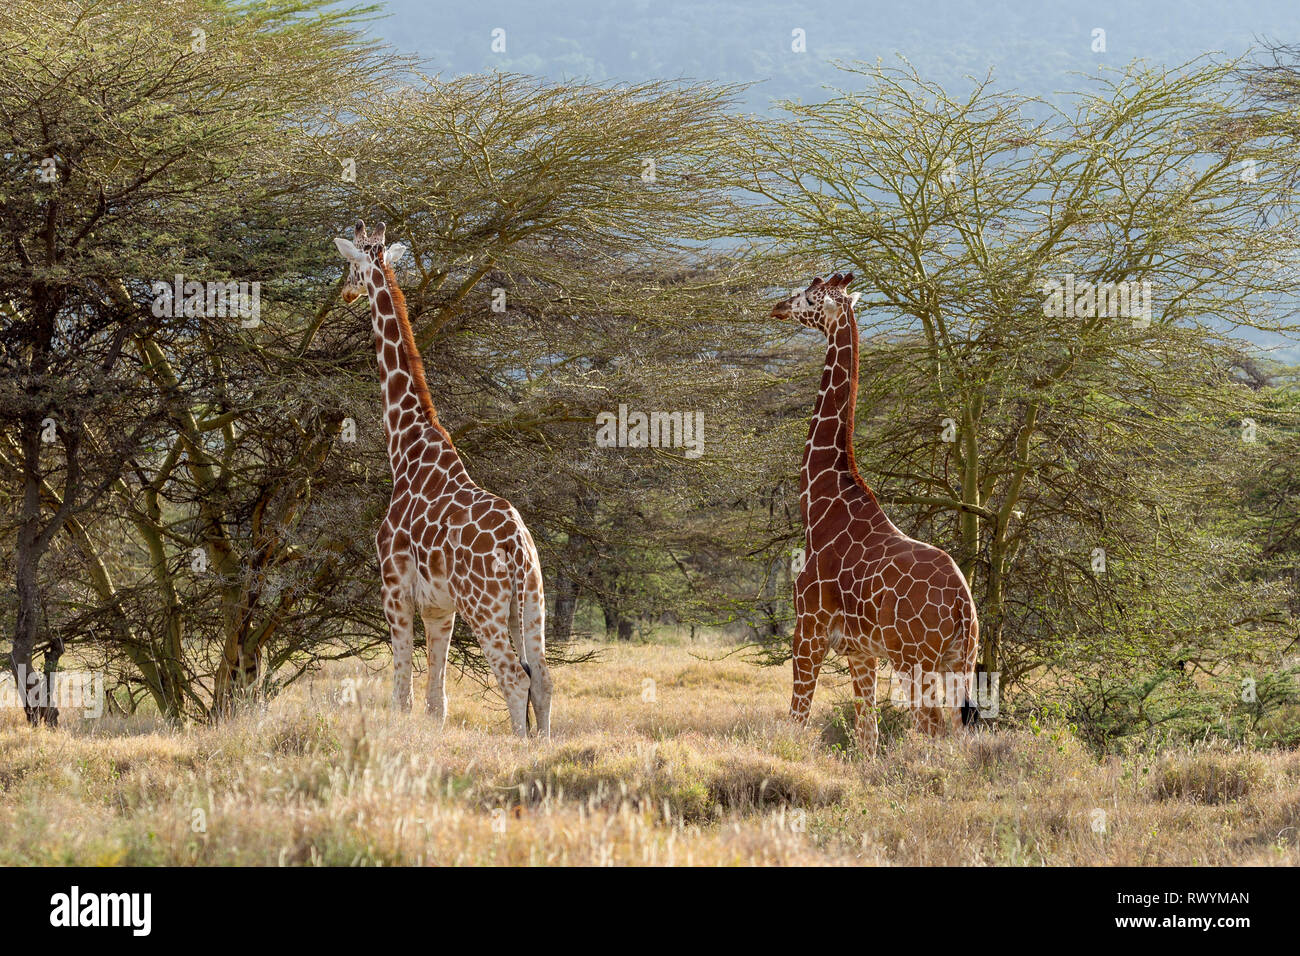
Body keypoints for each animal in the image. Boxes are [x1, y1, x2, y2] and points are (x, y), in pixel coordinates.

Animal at [332, 221, 551, 738]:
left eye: (351, 265)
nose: (345, 292)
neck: (406, 447)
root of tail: (516, 546)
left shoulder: (395, 586)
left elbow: (402, 695)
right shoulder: (440, 607)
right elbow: (437, 700)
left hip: (485, 606)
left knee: (515, 676)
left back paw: (522, 747)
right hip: (532, 600)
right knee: (543, 676)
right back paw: (545, 744)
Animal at [769, 270, 977, 754]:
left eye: (811, 298)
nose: (779, 307)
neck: (820, 505)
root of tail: (963, 602)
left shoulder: (808, 630)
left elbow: (797, 719)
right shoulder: (861, 651)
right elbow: (868, 737)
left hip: (915, 660)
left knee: (931, 728)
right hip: (963, 660)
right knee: (959, 732)